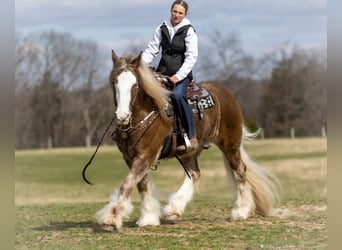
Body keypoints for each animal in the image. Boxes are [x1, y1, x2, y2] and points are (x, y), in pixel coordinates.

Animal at [91, 49, 280, 230]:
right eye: (114, 83)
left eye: (135, 85)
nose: (122, 116)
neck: (146, 112)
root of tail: (228, 95)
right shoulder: (131, 157)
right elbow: (141, 184)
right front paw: (148, 218)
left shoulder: (146, 155)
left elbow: (127, 184)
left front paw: (111, 219)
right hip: (188, 152)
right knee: (195, 174)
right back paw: (174, 209)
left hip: (230, 145)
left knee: (240, 170)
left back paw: (240, 211)